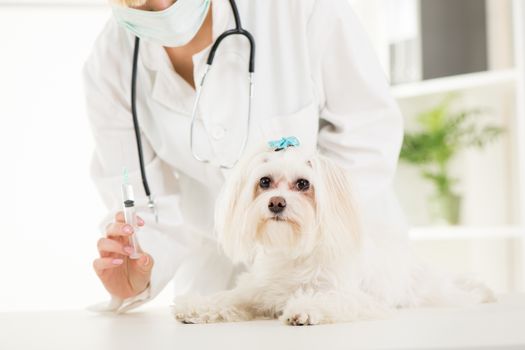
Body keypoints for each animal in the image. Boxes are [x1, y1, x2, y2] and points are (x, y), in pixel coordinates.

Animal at [173, 138, 496, 324]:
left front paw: (304, 309)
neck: (294, 253)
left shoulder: (354, 297)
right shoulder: (257, 290)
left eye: (303, 184)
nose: (276, 203)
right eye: (264, 182)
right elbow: (230, 298)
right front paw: (198, 306)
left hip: (431, 292)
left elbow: (328, 300)